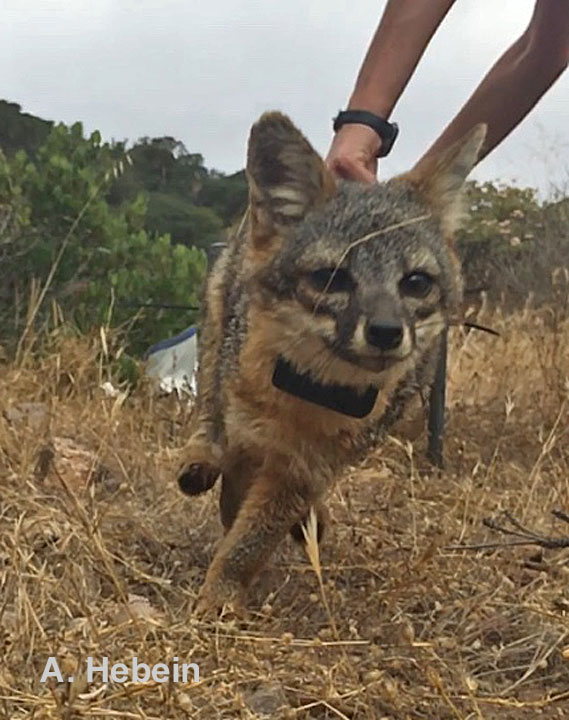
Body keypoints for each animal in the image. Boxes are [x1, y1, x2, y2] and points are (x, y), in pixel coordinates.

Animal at [176, 111, 486, 615]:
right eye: (330, 279)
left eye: (416, 283)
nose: (386, 331)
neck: (310, 393)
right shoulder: (247, 437)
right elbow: (235, 507)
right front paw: (222, 588)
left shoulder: (307, 466)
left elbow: (256, 533)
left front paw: (228, 582)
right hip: (217, 331)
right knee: (208, 407)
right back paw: (201, 456)